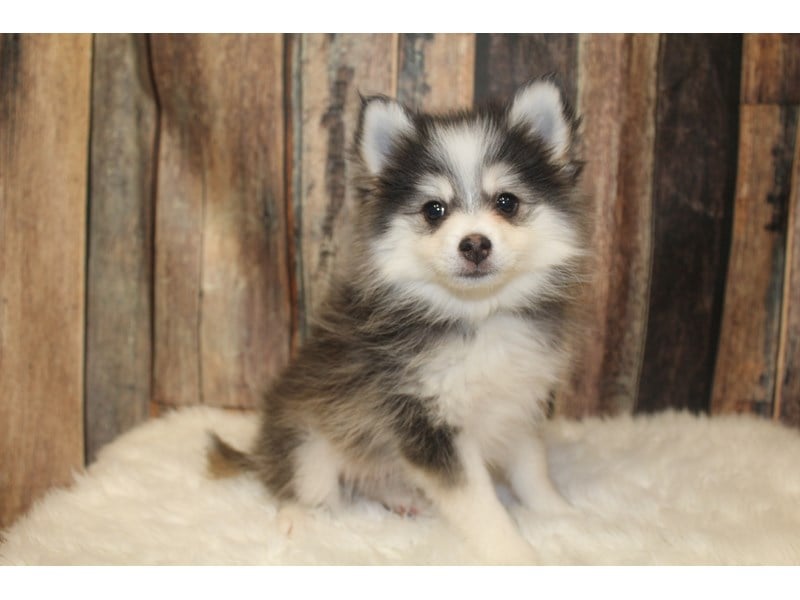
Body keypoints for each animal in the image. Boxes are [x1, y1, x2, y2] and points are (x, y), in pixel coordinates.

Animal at [208, 78, 590, 564]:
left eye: (507, 202)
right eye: (434, 210)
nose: (475, 244)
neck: (476, 318)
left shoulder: (518, 403)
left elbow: (532, 470)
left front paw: (563, 514)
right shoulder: (425, 423)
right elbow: (479, 503)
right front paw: (514, 552)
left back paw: (400, 496)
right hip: (307, 439)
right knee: (302, 484)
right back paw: (299, 517)